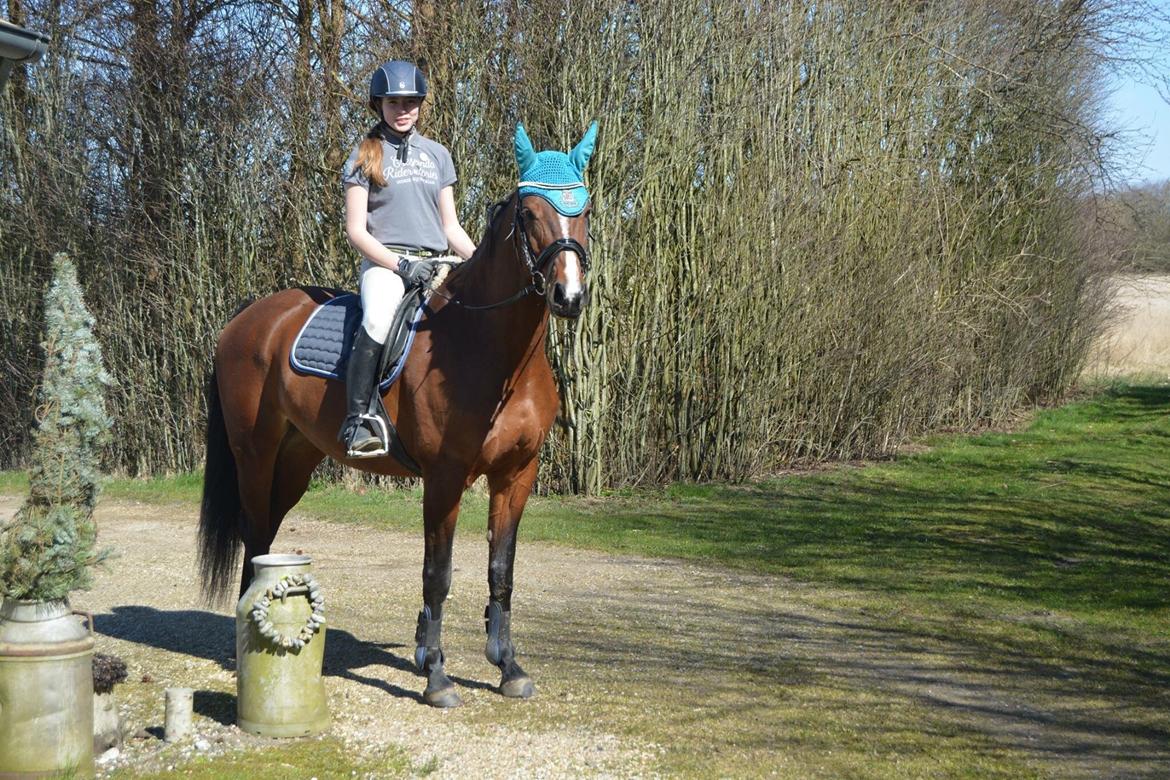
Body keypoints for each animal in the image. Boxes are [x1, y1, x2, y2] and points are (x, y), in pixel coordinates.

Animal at [197, 122, 597, 707]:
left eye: (583, 208)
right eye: (528, 213)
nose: (569, 295)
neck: (492, 350)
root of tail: (247, 318)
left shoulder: (516, 474)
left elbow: (501, 570)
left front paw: (508, 667)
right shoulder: (445, 476)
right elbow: (439, 573)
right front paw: (436, 675)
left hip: (295, 460)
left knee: (266, 531)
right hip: (255, 454)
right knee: (255, 537)